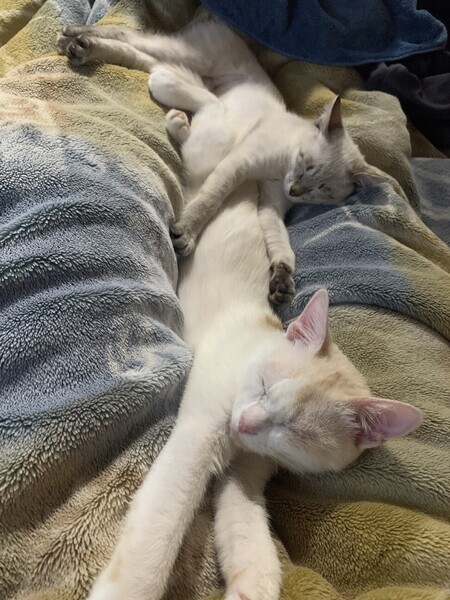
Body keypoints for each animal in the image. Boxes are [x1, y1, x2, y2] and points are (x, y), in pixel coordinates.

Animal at [57, 19, 390, 306]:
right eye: (304, 162)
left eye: (321, 190)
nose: (294, 190)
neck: (280, 170)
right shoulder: (241, 163)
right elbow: (210, 199)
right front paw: (185, 235)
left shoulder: (271, 204)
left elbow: (281, 245)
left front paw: (282, 282)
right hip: (183, 55)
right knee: (127, 35)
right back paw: (74, 39)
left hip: (179, 67)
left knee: (138, 55)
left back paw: (78, 46)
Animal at [79, 50, 423, 600]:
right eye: (263, 384)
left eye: (292, 432)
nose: (246, 423)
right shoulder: (198, 434)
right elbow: (159, 530)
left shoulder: (247, 469)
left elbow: (245, 531)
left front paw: (253, 585)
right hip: (223, 156)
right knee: (206, 119)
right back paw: (172, 103)